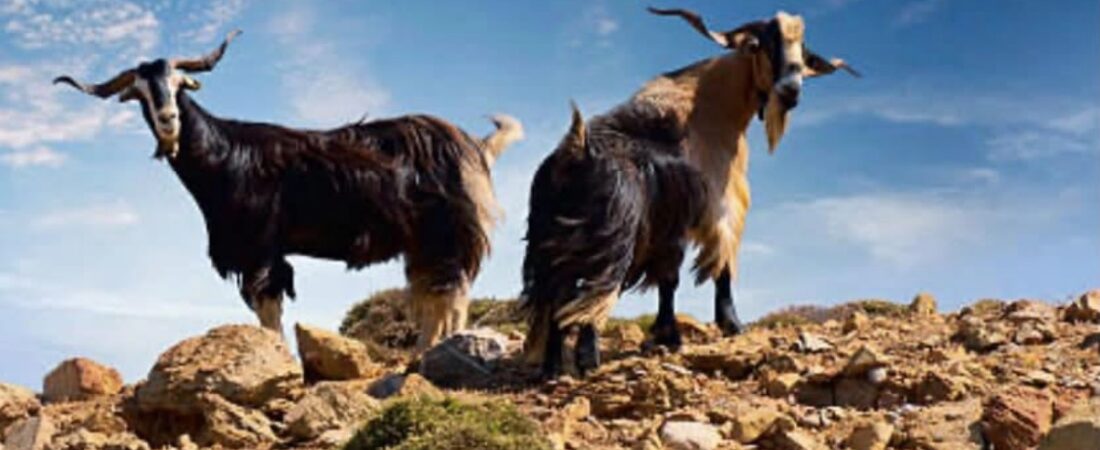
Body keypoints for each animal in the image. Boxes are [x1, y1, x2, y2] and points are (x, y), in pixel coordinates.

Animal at [55, 31, 524, 349]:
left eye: (180, 85)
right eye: (139, 93)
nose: (169, 120)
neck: (227, 155)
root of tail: (475, 146)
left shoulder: (259, 248)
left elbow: (269, 311)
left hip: (446, 232)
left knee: (453, 294)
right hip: (420, 242)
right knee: (432, 294)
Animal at [521, 7, 857, 376]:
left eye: (803, 52)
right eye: (761, 44)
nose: (791, 90)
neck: (710, 110)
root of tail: (577, 149)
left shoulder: (670, 228)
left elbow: (670, 279)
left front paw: (668, 335)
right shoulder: (714, 207)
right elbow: (710, 269)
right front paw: (724, 326)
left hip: (553, 242)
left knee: (559, 296)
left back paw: (553, 367)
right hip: (612, 238)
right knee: (592, 293)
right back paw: (587, 359)